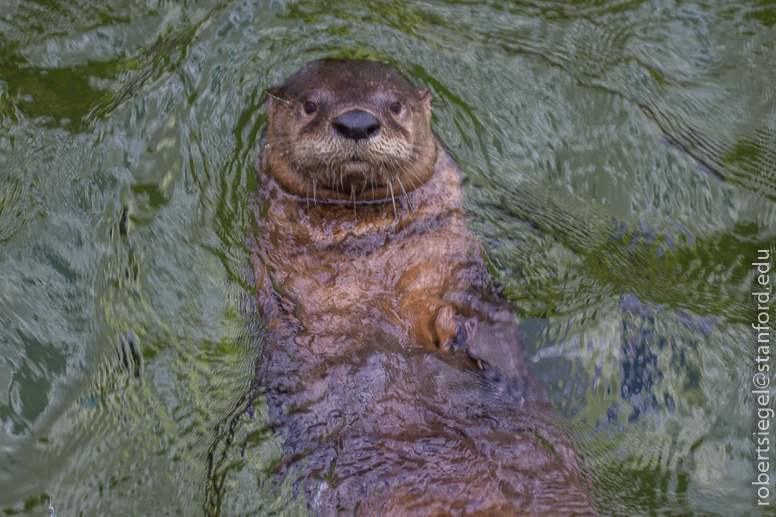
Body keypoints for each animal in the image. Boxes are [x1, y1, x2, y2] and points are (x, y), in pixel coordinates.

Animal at [249, 59, 596, 512]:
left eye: (395, 105)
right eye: (310, 105)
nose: (356, 121)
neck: (371, 263)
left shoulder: (452, 267)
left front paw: (473, 345)